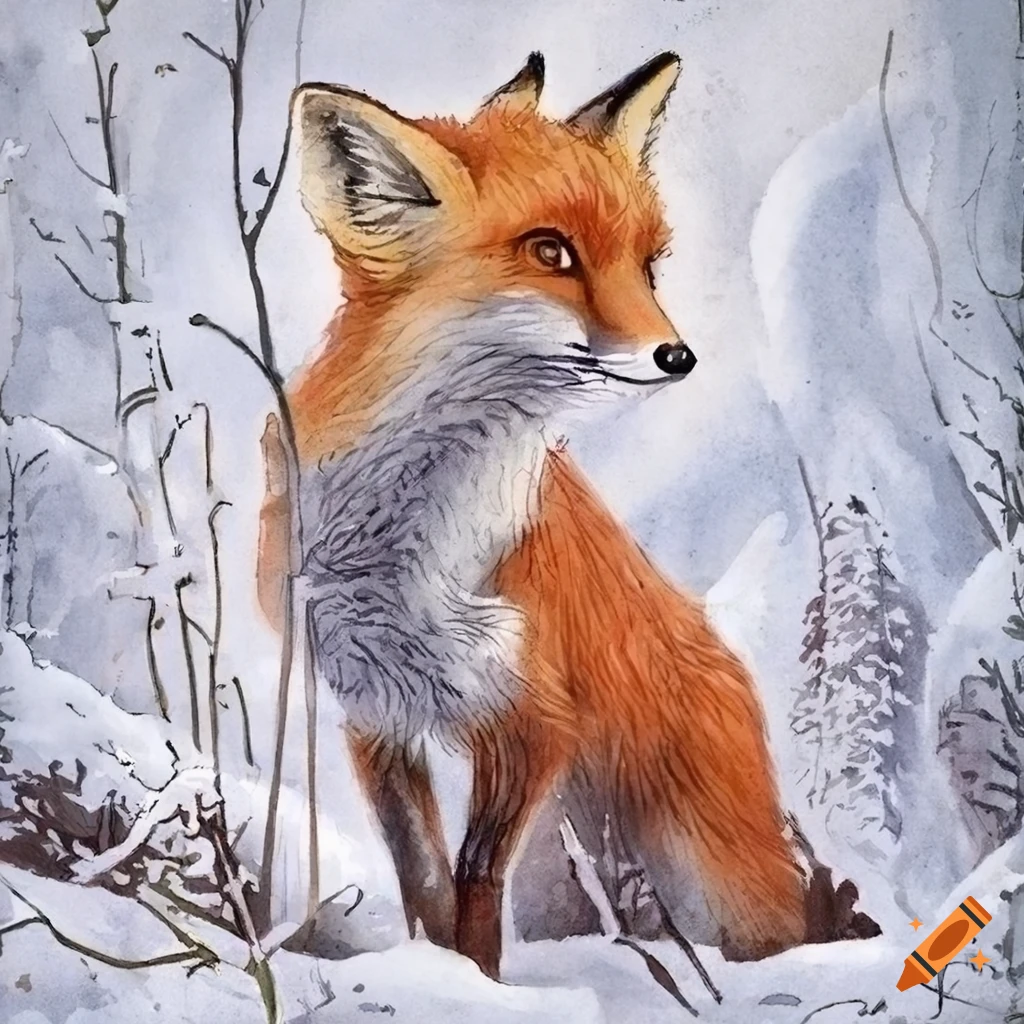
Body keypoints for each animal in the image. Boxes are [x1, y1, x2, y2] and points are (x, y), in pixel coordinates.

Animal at [264, 51, 878, 981]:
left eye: (648, 266)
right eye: (550, 251)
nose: (678, 355)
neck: (400, 543)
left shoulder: (533, 718)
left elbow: (476, 886)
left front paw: (479, 984)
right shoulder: (373, 709)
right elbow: (426, 884)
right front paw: (442, 975)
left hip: (703, 879)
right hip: (568, 871)